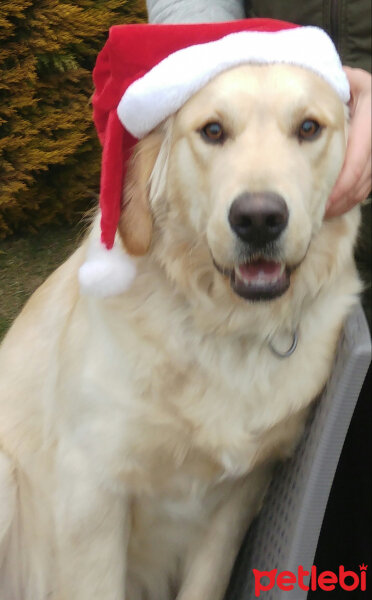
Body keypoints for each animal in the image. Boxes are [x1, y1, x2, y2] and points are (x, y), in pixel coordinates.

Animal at [0, 62, 360, 600]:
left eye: (309, 127)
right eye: (212, 131)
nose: (259, 219)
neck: (223, 326)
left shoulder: (239, 496)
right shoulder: (90, 491)